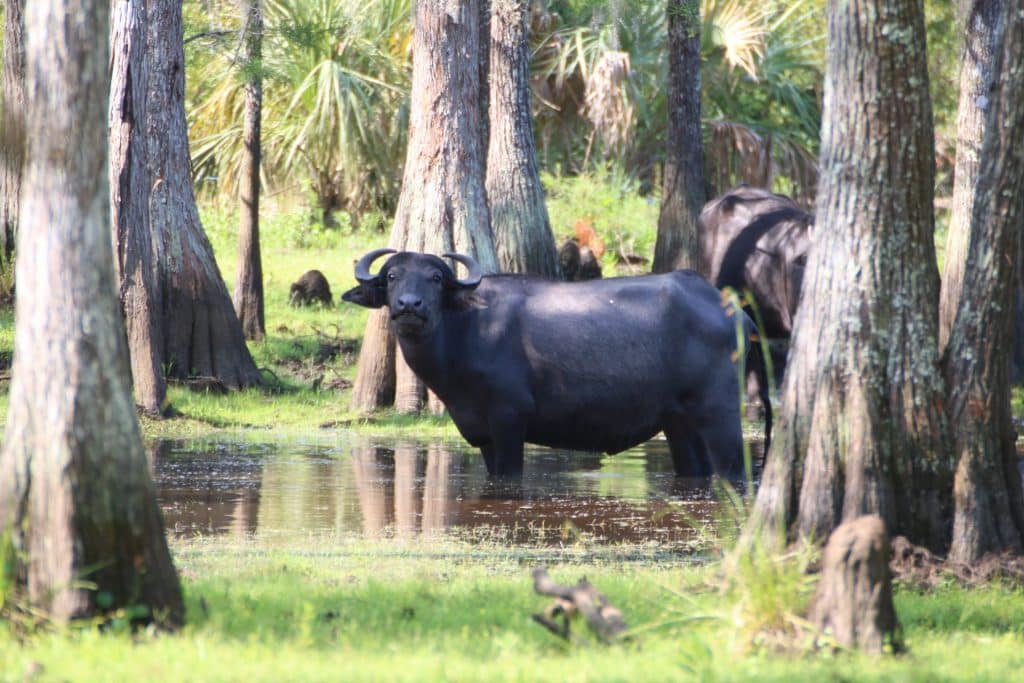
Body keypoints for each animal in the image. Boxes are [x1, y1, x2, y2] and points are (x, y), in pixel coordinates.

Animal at [342, 248, 770, 479]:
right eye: (392, 276)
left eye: (434, 278)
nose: (409, 305)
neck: (466, 332)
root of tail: (734, 311)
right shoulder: (480, 432)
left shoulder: (509, 418)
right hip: (679, 422)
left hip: (719, 413)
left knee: (735, 470)